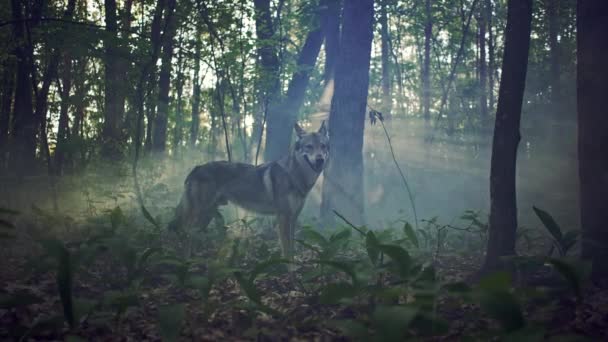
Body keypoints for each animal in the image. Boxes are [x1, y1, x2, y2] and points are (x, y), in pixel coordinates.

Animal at [169, 121, 330, 258]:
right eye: (309, 146)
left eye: (323, 146)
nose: (320, 159)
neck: (295, 175)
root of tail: (197, 168)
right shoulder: (283, 217)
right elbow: (286, 249)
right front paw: (289, 269)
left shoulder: (294, 218)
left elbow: (292, 248)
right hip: (198, 213)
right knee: (186, 233)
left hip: (207, 215)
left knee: (191, 234)